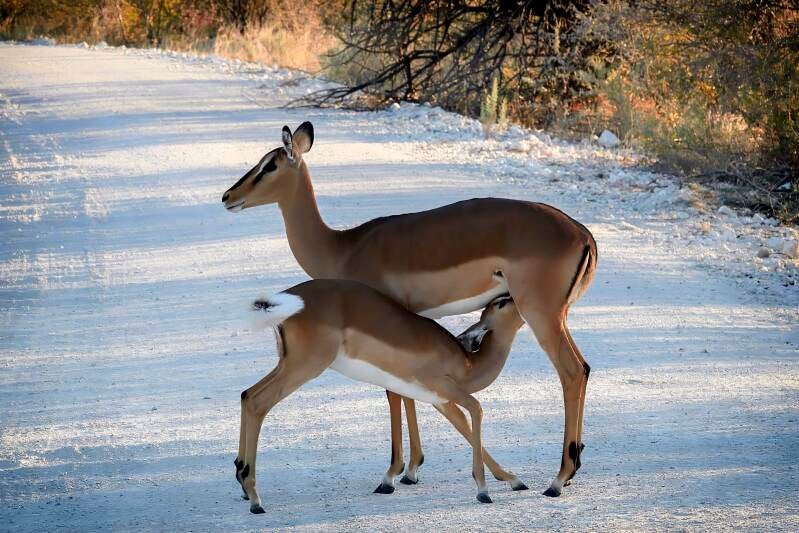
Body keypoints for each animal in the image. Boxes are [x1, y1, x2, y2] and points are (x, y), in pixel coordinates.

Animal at [236, 280, 526, 513]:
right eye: (501, 302)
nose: (517, 295)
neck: (467, 364)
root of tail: (283, 300)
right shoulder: (444, 388)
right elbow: (477, 409)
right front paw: (483, 491)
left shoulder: (440, 400)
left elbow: (464, 427)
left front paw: (512, 479)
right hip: (304, 367)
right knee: (258, 402)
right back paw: (256, 499)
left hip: (287, 365)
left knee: (247, 394)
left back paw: (243, 480)